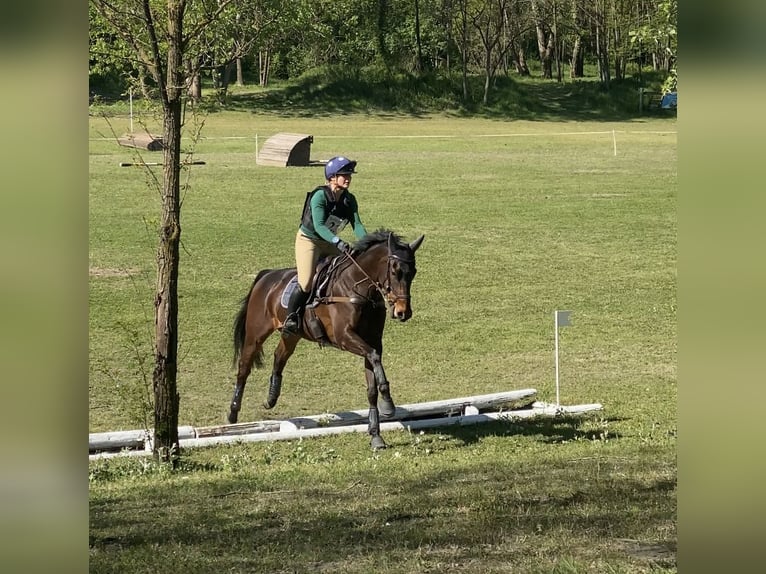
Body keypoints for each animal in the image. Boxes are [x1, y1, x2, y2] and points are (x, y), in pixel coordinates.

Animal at [228, 230, 426, 450]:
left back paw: (270, 399)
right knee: (244, 368)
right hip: (256, 335)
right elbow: (374, 361)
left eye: (413, 272)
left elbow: (371, 384)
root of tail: (267, 275)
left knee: (279, 357)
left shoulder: (373, 341)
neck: (359, 287)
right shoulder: (344, 337)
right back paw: (233, 413)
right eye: (394, 270)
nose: (403, 312)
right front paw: (388, 403)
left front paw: (376, 435)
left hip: (292, 334)